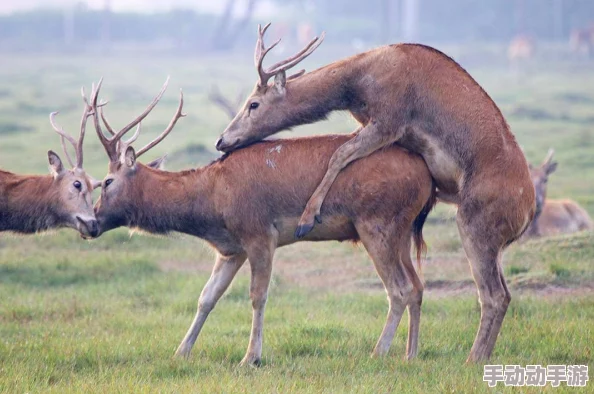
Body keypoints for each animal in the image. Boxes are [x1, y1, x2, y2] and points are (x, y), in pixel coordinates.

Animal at [84, 79, 434, 366]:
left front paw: (251, 357)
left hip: (376, 222)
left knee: (399, 289)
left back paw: (379, 352)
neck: (211, 201)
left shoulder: (259, 233)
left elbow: (258, 295)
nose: (92, 222)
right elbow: (206, 297)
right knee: (417, 285)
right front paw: (180, 352)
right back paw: (411, 354)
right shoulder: (231, 248)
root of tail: (427, 178)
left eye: (106, 181)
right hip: (402, 229)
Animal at [215, 22, 536, 364]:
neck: (357, 84)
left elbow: (339, 153)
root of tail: (528, 210)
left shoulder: (389, 120)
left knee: (492, 294)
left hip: (475, 223)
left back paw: (472, 359)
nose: (221, 140)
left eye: (254, 103)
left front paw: (307, 218)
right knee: (504, 293)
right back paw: (473, 356)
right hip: (494, 242)